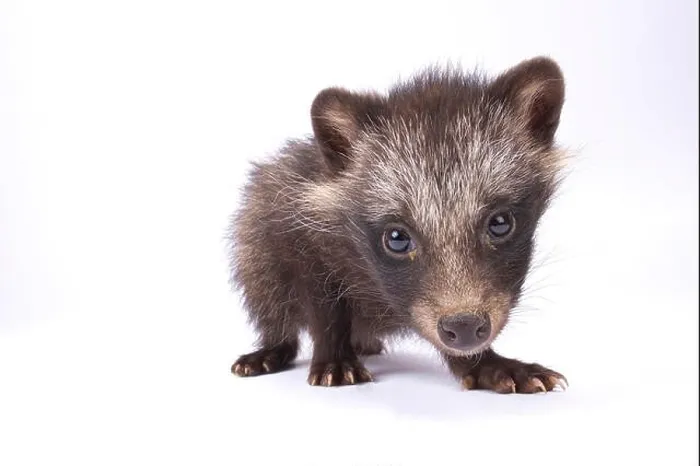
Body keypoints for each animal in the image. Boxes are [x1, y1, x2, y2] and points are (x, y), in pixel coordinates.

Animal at [229, 57, 568, 393]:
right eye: (396, 238)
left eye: (500, 223)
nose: (464, 327)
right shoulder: (300, 234)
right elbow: (323, 306)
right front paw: (333, 356)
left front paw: (484, 363)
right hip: (255, 242)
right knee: (268, 298)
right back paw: (273, 346)